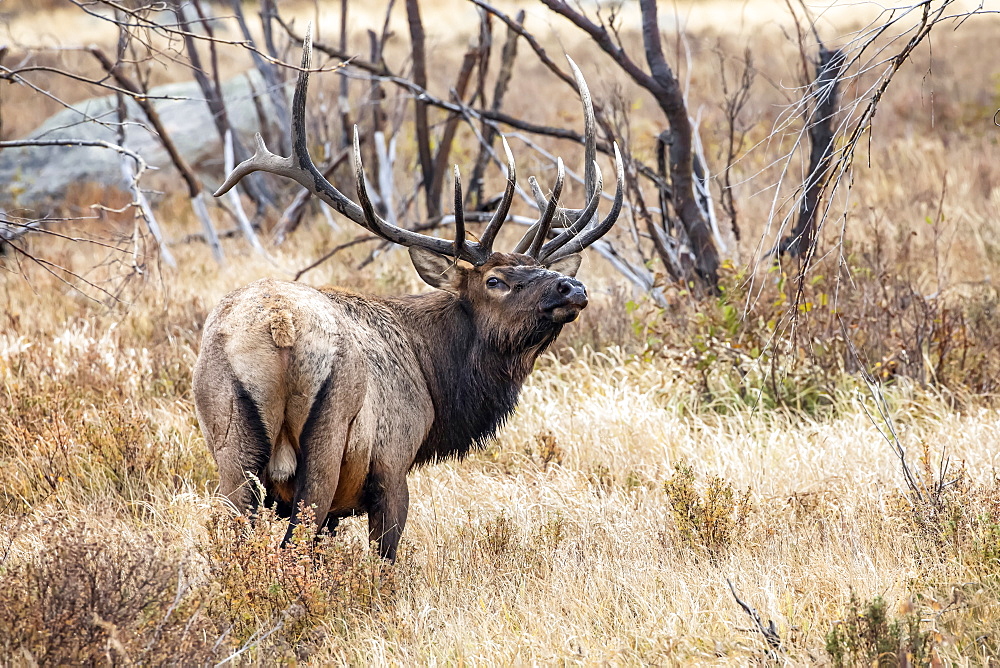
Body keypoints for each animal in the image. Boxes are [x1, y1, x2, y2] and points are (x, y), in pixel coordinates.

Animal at [191, 27, 620, 560]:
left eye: (541, 269)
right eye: (494, 281)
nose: (572, 286)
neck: (436, 382)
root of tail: (279, 327)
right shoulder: (392, 465)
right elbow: (386, 557)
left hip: (229, 442)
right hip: (327, 439)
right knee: (295, 543)